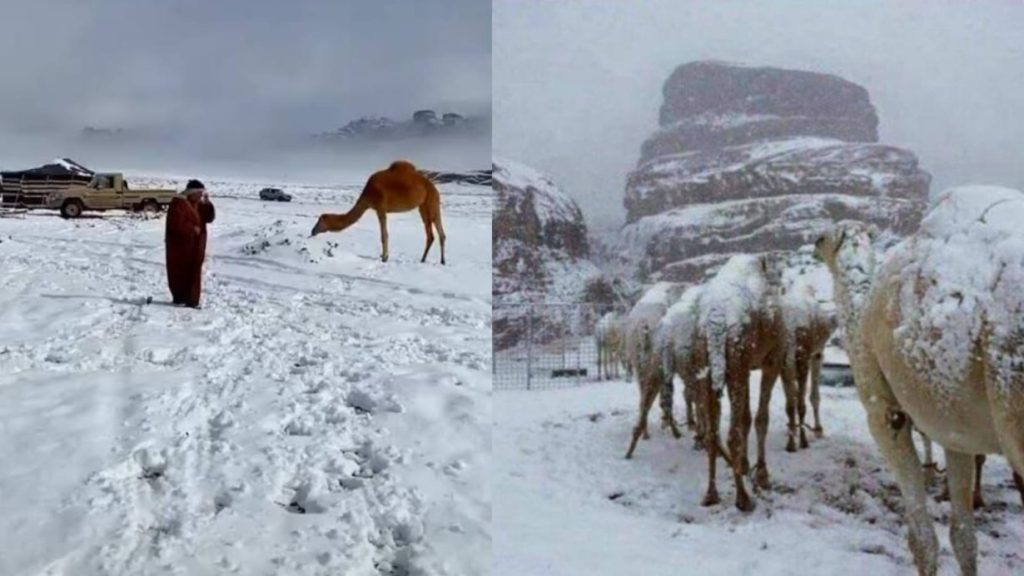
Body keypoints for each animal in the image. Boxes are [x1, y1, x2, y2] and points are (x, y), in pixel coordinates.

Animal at [307, 158, 444, 262]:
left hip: (430, 202)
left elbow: (384, 235)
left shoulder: (380, 208)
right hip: (425, 206)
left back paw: (431, 259)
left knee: (433, 232)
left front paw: (384, 258)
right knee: (436, 232)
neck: (368, 194)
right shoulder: (379, 208)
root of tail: (433, 188)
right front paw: (384, 256)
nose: (312, 231)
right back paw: (435, 260)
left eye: (320, 221)